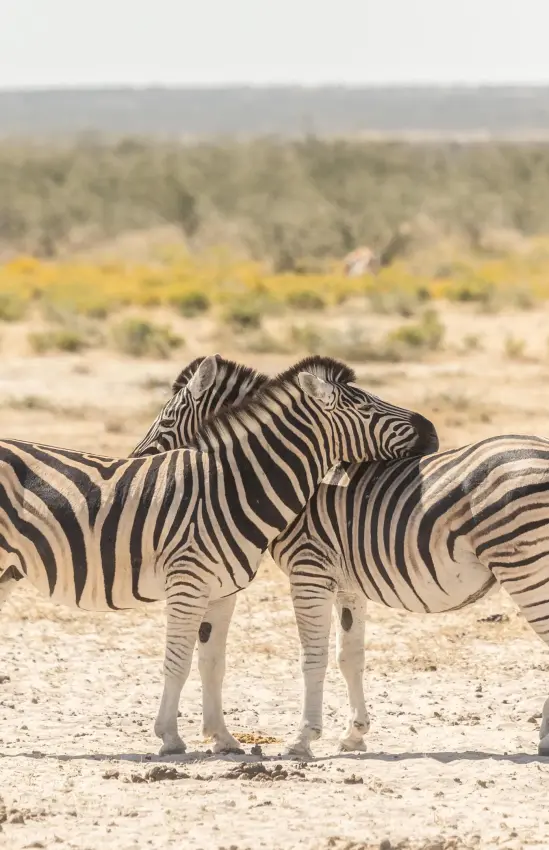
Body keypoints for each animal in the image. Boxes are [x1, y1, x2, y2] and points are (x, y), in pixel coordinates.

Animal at [0, 354, 436, 755]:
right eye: (365, 406)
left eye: (165, 423)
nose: (431, 431)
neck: (230, 485)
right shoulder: (191, 583)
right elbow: (177, 661)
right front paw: (171, 738)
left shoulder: (224, 590)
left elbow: (213, 663)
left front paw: (223, 739)